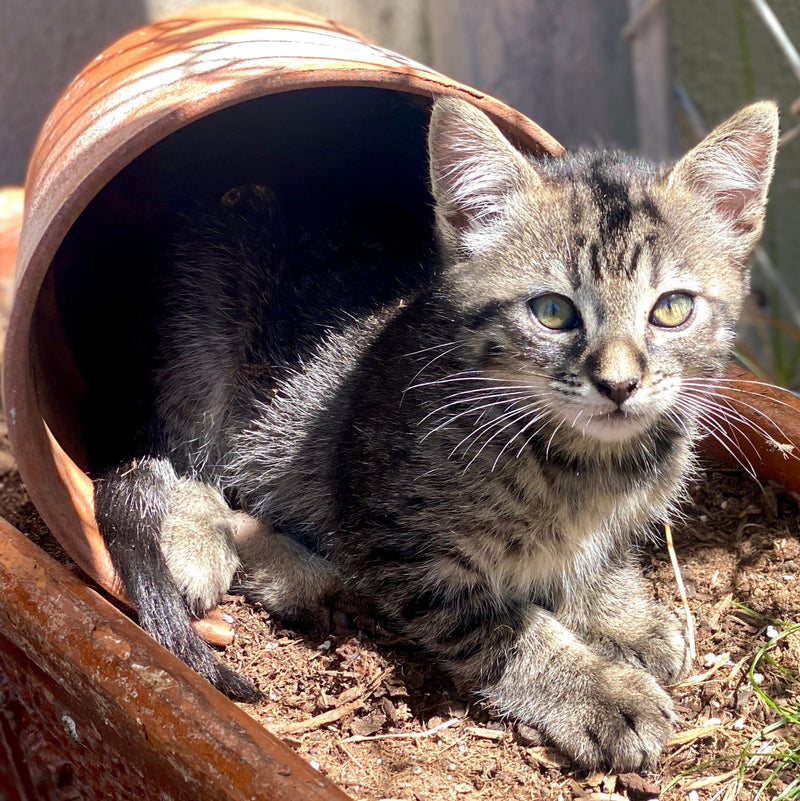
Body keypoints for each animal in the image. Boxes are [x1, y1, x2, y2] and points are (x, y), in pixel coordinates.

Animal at [92, 97, 776, 772]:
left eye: (672, 309)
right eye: (553, 312)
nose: (619, 384)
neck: (584, 465)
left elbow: (598, 556)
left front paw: (623, 616)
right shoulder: (402, 551)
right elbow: (506, 633)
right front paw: (600, 691)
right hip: (202, 355)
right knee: (187, 468)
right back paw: (229, 551)